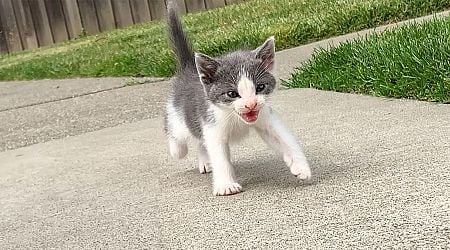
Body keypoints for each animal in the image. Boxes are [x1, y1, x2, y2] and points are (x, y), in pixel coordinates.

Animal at [163, 1, 312, 196]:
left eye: (260, 87)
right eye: (232, 94)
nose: (251, 104)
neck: (236, 118)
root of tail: (189, 69)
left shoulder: (265, 116)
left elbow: (285, 139)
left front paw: (301, 167)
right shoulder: (212, 124)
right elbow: (219, 155)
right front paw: (226, 185)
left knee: (201, 140)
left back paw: (205, 161)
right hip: (179, 118)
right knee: (177, 133)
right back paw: (177, 149)